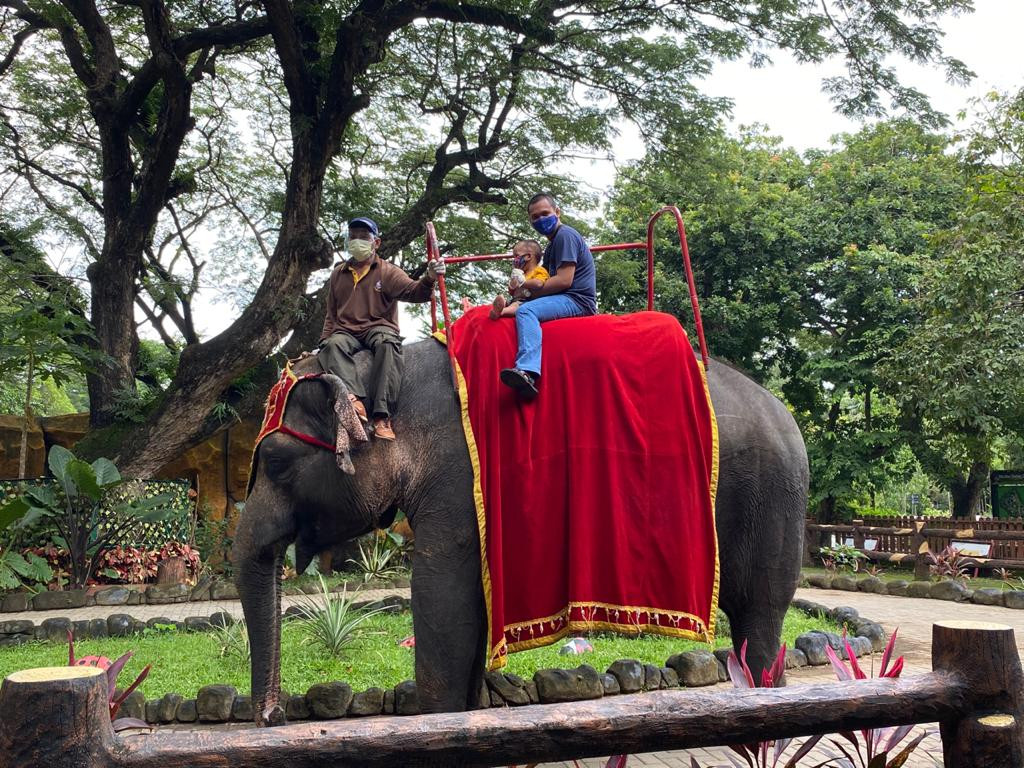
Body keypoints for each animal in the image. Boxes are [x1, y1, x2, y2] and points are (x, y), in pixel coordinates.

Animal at [234, 337, 806, 729]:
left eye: (277, 464)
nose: (273, 716)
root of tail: (785, 415)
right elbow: (470, 619)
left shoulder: (459, 484)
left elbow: (443, 605)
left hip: (774, 500)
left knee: (760, 613)